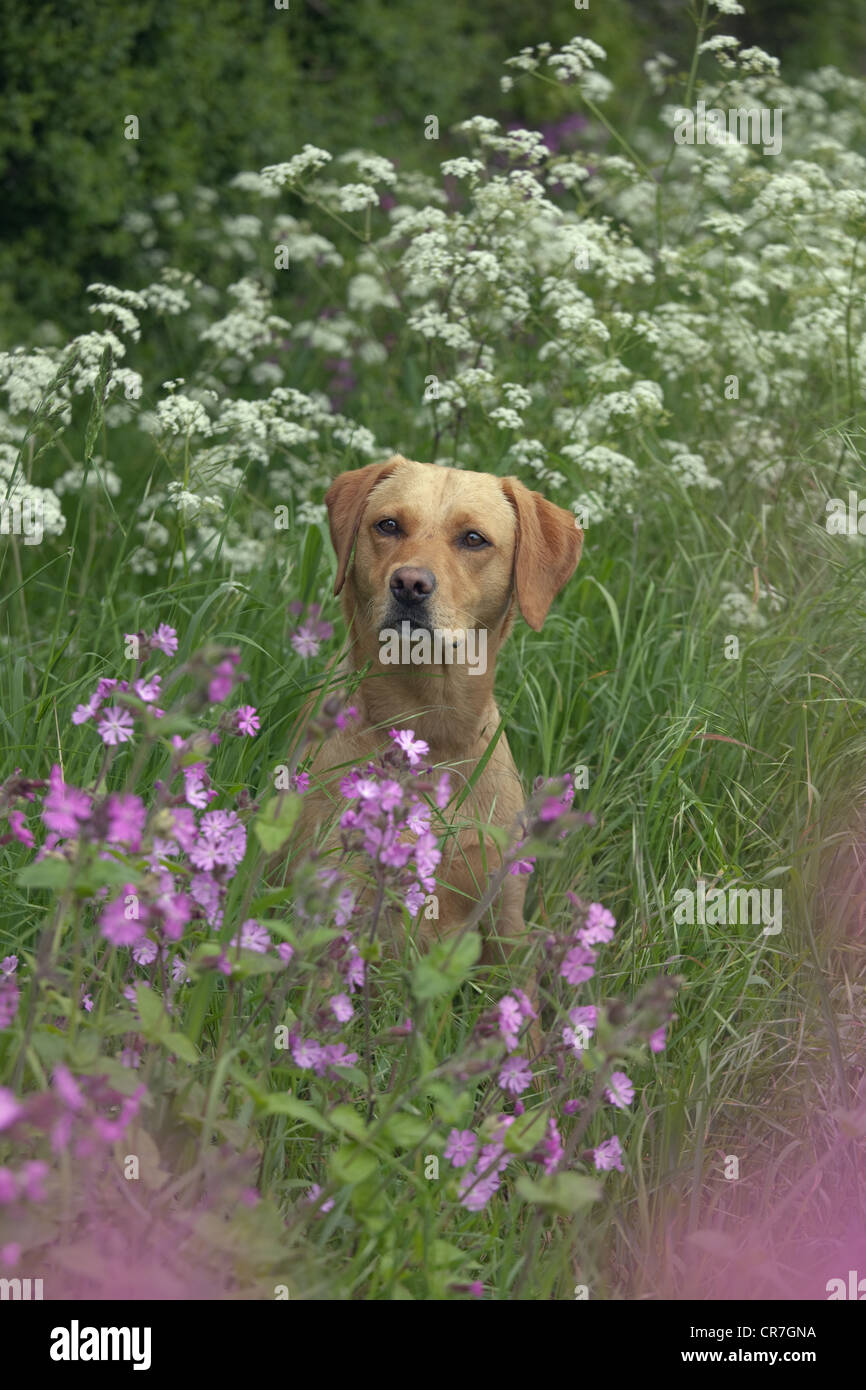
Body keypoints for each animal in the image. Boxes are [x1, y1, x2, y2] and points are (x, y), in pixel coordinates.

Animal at [291, 455, 583, 967]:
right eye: (388, 525)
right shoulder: (338, 903)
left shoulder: (505, 918)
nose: (409, 584)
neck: (430, 722)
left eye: (473, 539)